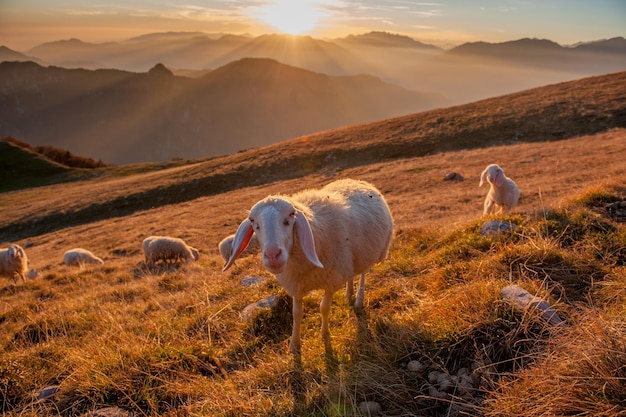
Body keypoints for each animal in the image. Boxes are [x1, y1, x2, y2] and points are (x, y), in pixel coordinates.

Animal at [222, 177, 392, 352]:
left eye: (291, 215)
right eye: (252, 220)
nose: (273, 255)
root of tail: (353, 179)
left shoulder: (331, 280)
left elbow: (324, 307)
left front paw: (324, 334)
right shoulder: (297, 283)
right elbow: (296, 313)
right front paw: (294, 344)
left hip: (370, 251)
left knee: (363, 274)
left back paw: (358, 299)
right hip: (350, 259)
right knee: (351, 273)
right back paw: (348, 292)